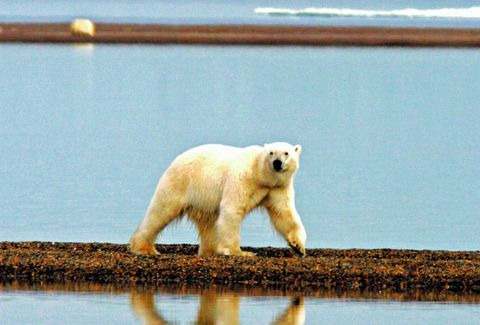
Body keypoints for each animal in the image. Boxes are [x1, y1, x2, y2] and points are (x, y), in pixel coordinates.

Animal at [129, 142, 306, 256]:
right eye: (271, 152)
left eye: (286, 153)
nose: (277, 163)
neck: (260, 175)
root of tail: (175, 160)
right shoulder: (242, 178)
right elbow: (232, 208)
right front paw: (239, 252)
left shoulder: (278, 188)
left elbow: (283, 213)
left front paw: (298, 247)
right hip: (181, 182)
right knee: (161, 211)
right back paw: (144, 248)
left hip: (203, 198)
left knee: (209, 222)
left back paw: (210, 250)